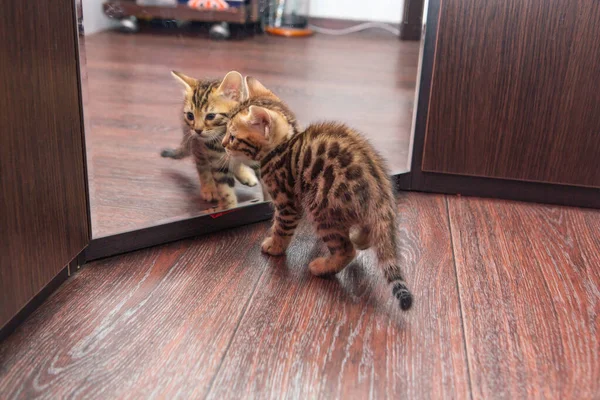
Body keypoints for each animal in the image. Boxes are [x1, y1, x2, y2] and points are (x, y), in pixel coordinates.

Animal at [162, 70, 258, 209]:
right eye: (190, 115)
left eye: (211, 116)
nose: (197, 130)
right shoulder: (214, 159)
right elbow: (225, 190)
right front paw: (228, 206)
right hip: (196, 145)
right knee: (203, 166)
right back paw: (209, 188)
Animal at [223, 78, 414, 310]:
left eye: (233, 137)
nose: (222, 144)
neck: (284, 145)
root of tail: (380, 195)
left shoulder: (287, 203)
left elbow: (281, 227)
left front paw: (275, 246)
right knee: (366, 232)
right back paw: (359, 238)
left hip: (321, 209)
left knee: (346, 250)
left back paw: (322, 267)